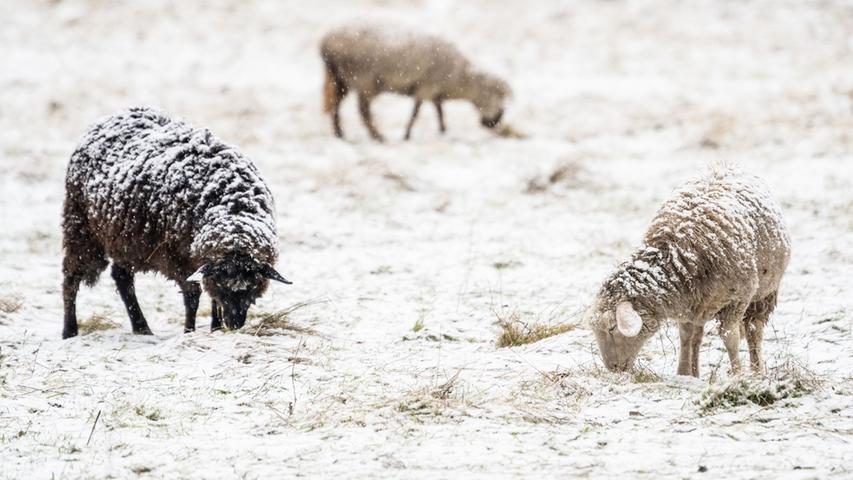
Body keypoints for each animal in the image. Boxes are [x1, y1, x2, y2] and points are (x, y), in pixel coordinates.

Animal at [60, 106, 290, 338]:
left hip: (123, 239)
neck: (231, 206)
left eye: (252, 286)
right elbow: (193, 296)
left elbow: (211, 299)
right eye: (222, 284)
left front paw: (215, 328)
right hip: (80, 227)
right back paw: (70, 330)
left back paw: (142, 328)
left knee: (122, 278)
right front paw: (189, 331)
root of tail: (111, 117)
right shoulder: (179, 257)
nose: (234, 324)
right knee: (71, 278)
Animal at [318, 22, 506, 142]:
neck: (459, 79)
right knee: (363, 112)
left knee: (336, 106)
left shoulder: (433, 90)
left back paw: (340, 134)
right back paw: (378, 137)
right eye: (496, 95)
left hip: (341, 80)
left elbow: (439, 110)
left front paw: (443, 130)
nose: (495, 122)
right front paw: (407, 135)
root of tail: (325, 43)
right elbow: (416, 113)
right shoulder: (426, 87)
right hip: (363, 80)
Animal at [588, 167, 788, 376]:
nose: (613, 368)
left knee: (753, 330)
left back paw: (757, 370)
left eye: (612, 328)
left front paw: (737, 375)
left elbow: (730, 338)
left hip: (763, 294)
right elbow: (685, 336)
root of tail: (726, 166)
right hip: (702, 304)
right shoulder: (688, 304)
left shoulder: (736, 300)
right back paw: (696, 371)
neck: (679, 256)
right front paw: (683, 373)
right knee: (697, 336)